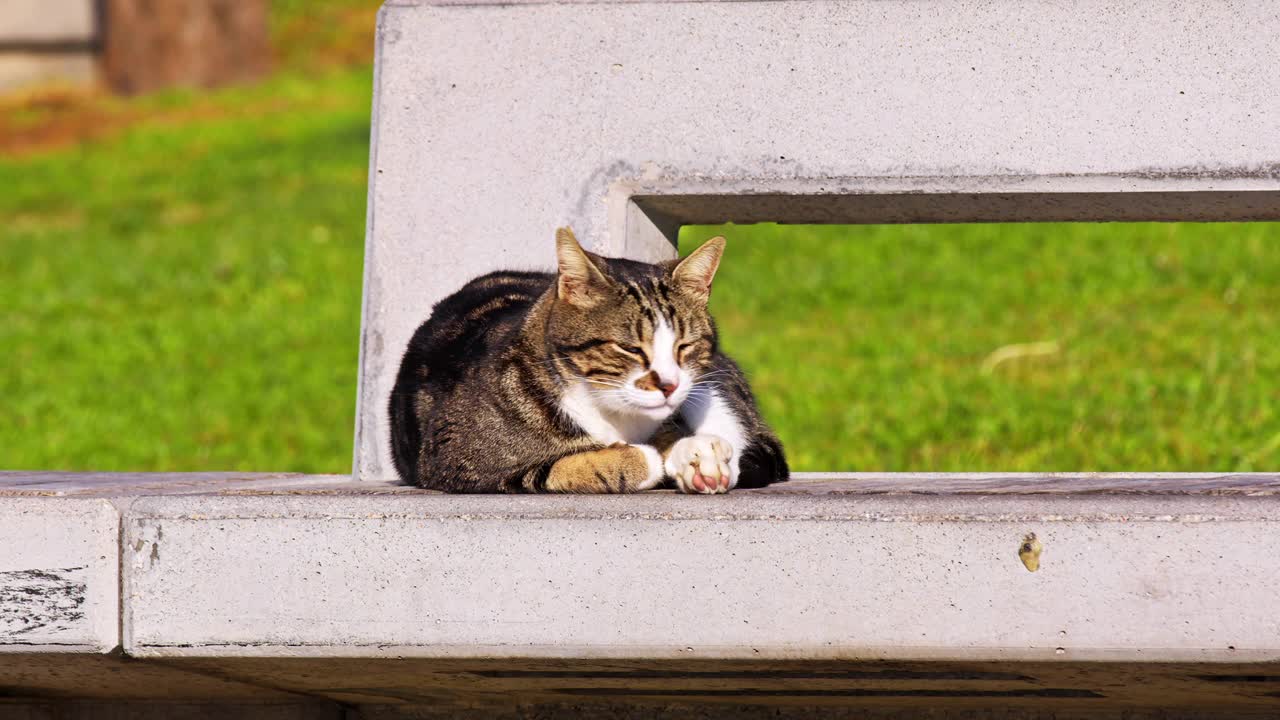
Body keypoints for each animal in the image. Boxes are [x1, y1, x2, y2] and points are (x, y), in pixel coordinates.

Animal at [386, 226, 788, 489]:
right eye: (630, 348)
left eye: (684, 346)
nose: (669, 385)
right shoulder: (456, 458)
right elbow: (557, 467)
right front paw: (643, 458)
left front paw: (693, 454)